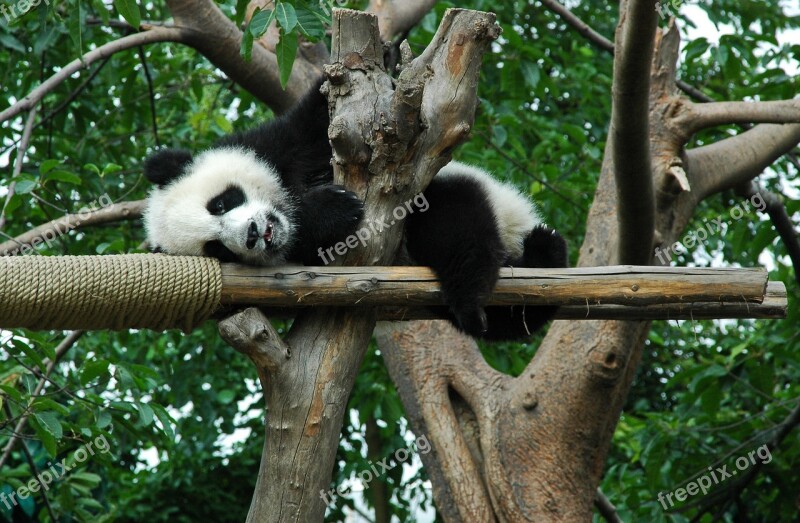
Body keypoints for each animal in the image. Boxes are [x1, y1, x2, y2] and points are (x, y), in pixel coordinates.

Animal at [144, 78, 568, 340]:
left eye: (221, 203)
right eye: (217, 250)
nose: (252, 235)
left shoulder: (272, 147)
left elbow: (314, 124)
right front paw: (329, 211)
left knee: (455, 226)